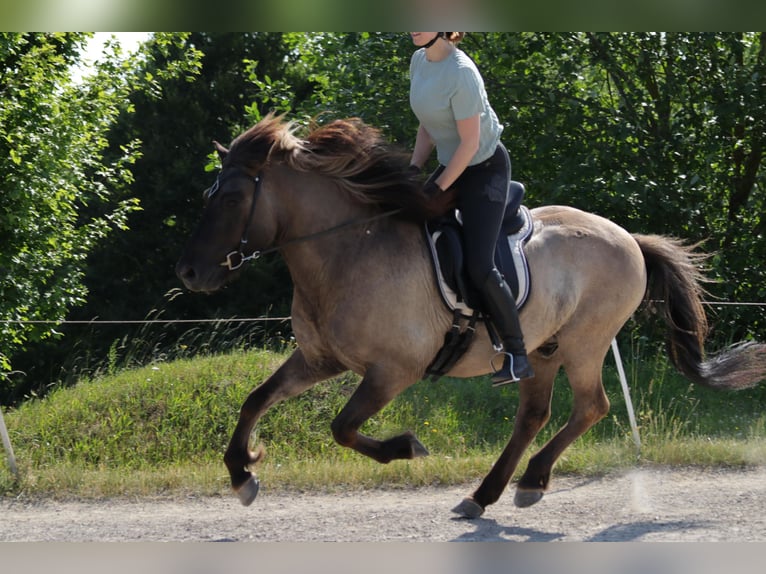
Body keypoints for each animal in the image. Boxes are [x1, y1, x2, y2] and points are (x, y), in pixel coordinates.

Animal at [176, 115, 766, 520]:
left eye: (231, 197)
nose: (188, 271)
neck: (346, 252)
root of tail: (631, 240)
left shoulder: (393, 372)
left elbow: (342, 427)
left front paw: (406, 447)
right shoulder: (320, 359)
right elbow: (257, 398)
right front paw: (242, 472)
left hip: (586, 342)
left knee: (591, 407)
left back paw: (528, 482)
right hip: (544, 349)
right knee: (534, 414)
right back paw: (489, 493)